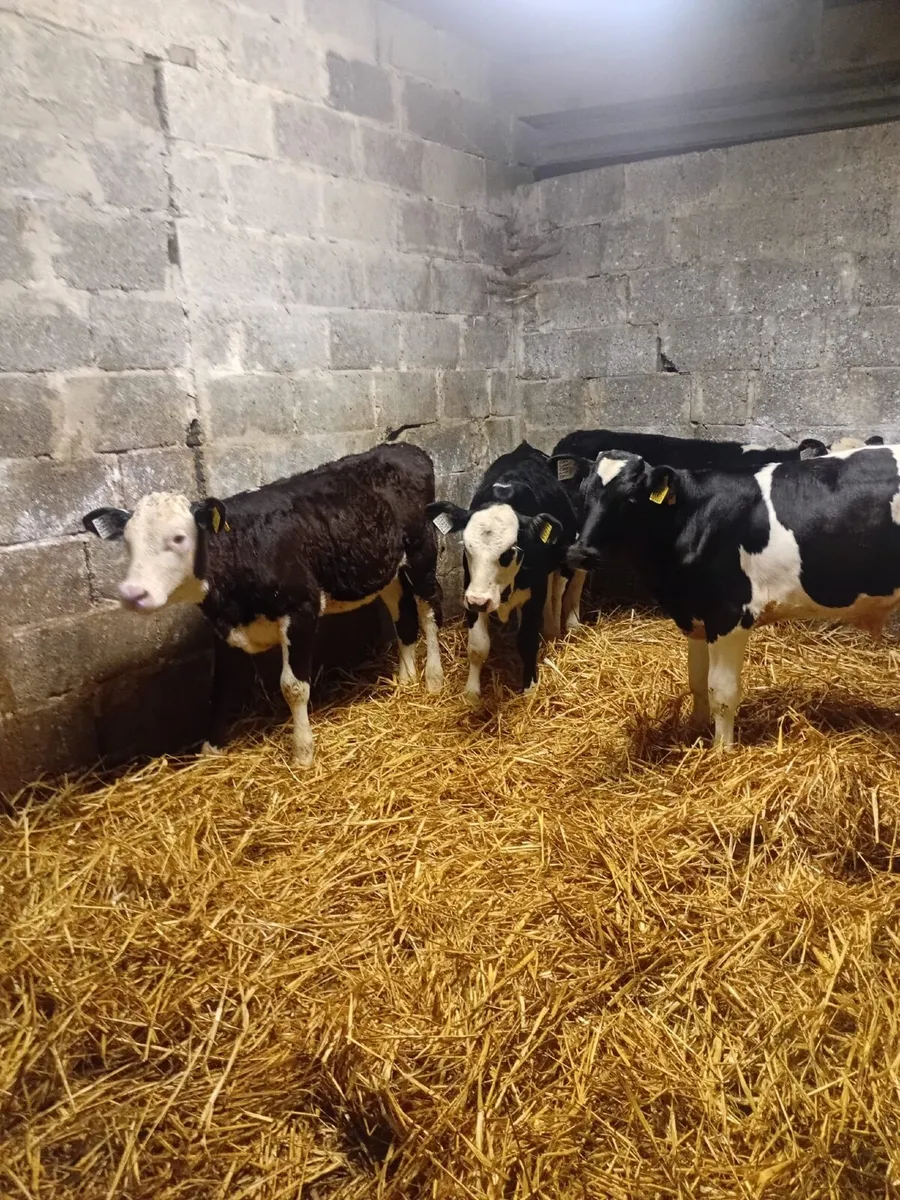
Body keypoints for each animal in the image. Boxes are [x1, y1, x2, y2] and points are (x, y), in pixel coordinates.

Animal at [82, 444, 443, 767]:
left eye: (179, 538)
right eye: (127, 541)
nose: (132, 593)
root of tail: (406, 448)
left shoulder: (301, 610)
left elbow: (293, 687)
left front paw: (302, 753)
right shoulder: (225, 628)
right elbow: (220, 688)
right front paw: (210, 752)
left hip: (422, 552)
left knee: (428, 609)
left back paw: (433, 678)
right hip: (388, 569)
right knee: (404, 616)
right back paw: (405, 679)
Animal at [426, 442, 578, 702]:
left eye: (509, 552)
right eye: (467, 546)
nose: (479, 600)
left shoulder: (534, 591)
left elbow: (527, 640)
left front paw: (530, 686)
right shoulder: (470, 588)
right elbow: (478, 646)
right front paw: (472, 692)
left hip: (562, 558)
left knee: (557, 592)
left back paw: (552, 631)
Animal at [560, 442, 900, 748]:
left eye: (630, 499)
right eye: (584, 493)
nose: (579, 553)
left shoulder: (729, 615)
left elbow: (722, 692)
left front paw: (721, 752)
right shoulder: (696, 614)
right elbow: (697, 681)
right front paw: (694, 731)